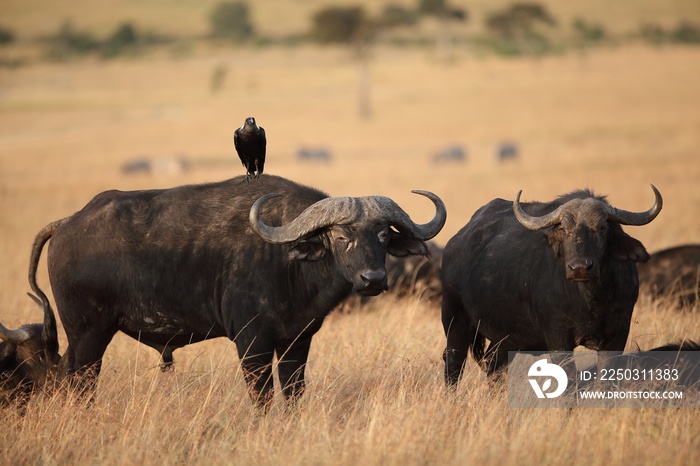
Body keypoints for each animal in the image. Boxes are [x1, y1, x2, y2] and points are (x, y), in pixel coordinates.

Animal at [0, 173, 446, 406]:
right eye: (339, 236)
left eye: (383, 235)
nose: (374, 279)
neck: (286, 263)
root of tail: (69, 222)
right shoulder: (251, 342)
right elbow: (262, 396)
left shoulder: (298, 340)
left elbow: (293, 391)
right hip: (88, 335)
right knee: (77, 382)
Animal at [442, 184, 660, 384]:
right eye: (564, 229)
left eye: (602, 228)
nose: (580, 267)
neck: (591, 300)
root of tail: (456, 242)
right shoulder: (558, 337)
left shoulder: (618, 334)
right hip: (455, 319)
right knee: (453, 363)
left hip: (503, 338)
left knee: (495, 368)